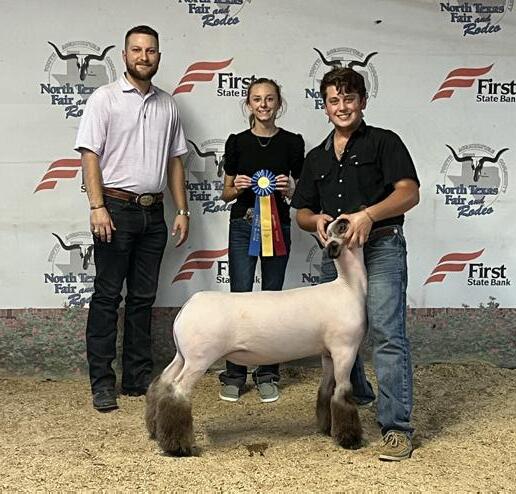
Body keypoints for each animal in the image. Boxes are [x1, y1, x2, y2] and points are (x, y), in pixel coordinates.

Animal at [145, 218, 367, 456]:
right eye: (340, 227)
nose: (345, 219)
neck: (348, 287)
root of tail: (187, 306)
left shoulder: (328, 353)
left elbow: (326, 390)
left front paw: (327, 429)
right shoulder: (345, 349)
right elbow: (342, 393)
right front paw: (350, 439)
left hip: (183, 355)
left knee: (164, 382)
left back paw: (154, 430)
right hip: (199, 358)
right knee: (178, 391)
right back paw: (178, 447)